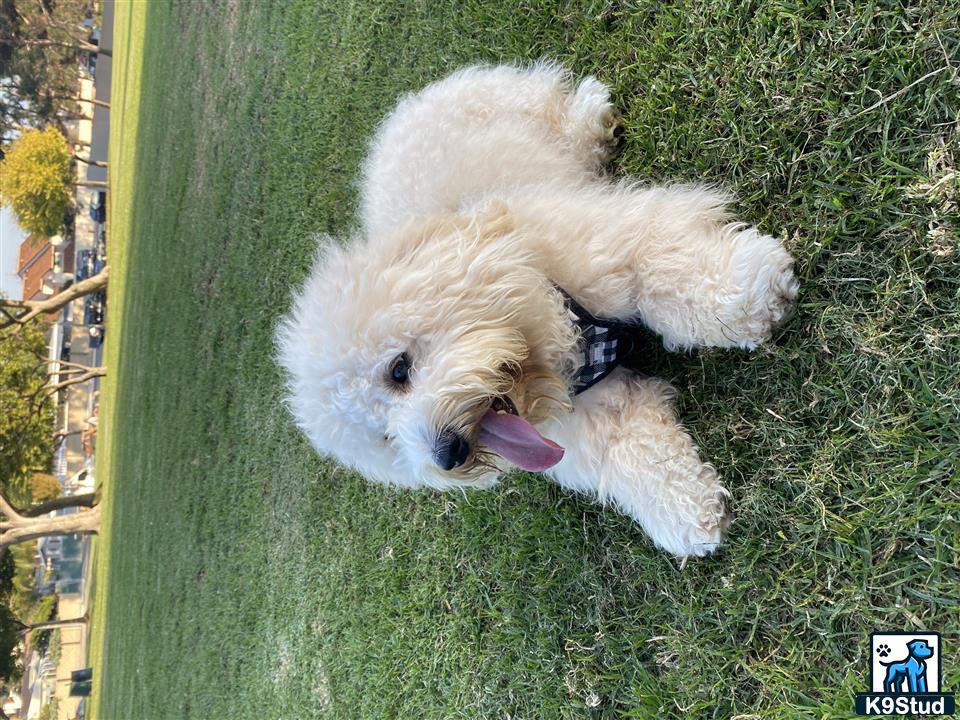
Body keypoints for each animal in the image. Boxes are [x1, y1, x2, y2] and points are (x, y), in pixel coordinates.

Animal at [274, 62, 800, 556]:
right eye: (384, 438)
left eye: (398, 369)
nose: (447, 455)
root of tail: (398, 117)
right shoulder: (588, 417)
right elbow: (636, 452)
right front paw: (687, 513)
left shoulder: (621, 250)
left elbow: (676, 276)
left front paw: (752, 296)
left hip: (519, 109)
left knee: (560, 106)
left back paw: (591, 118)